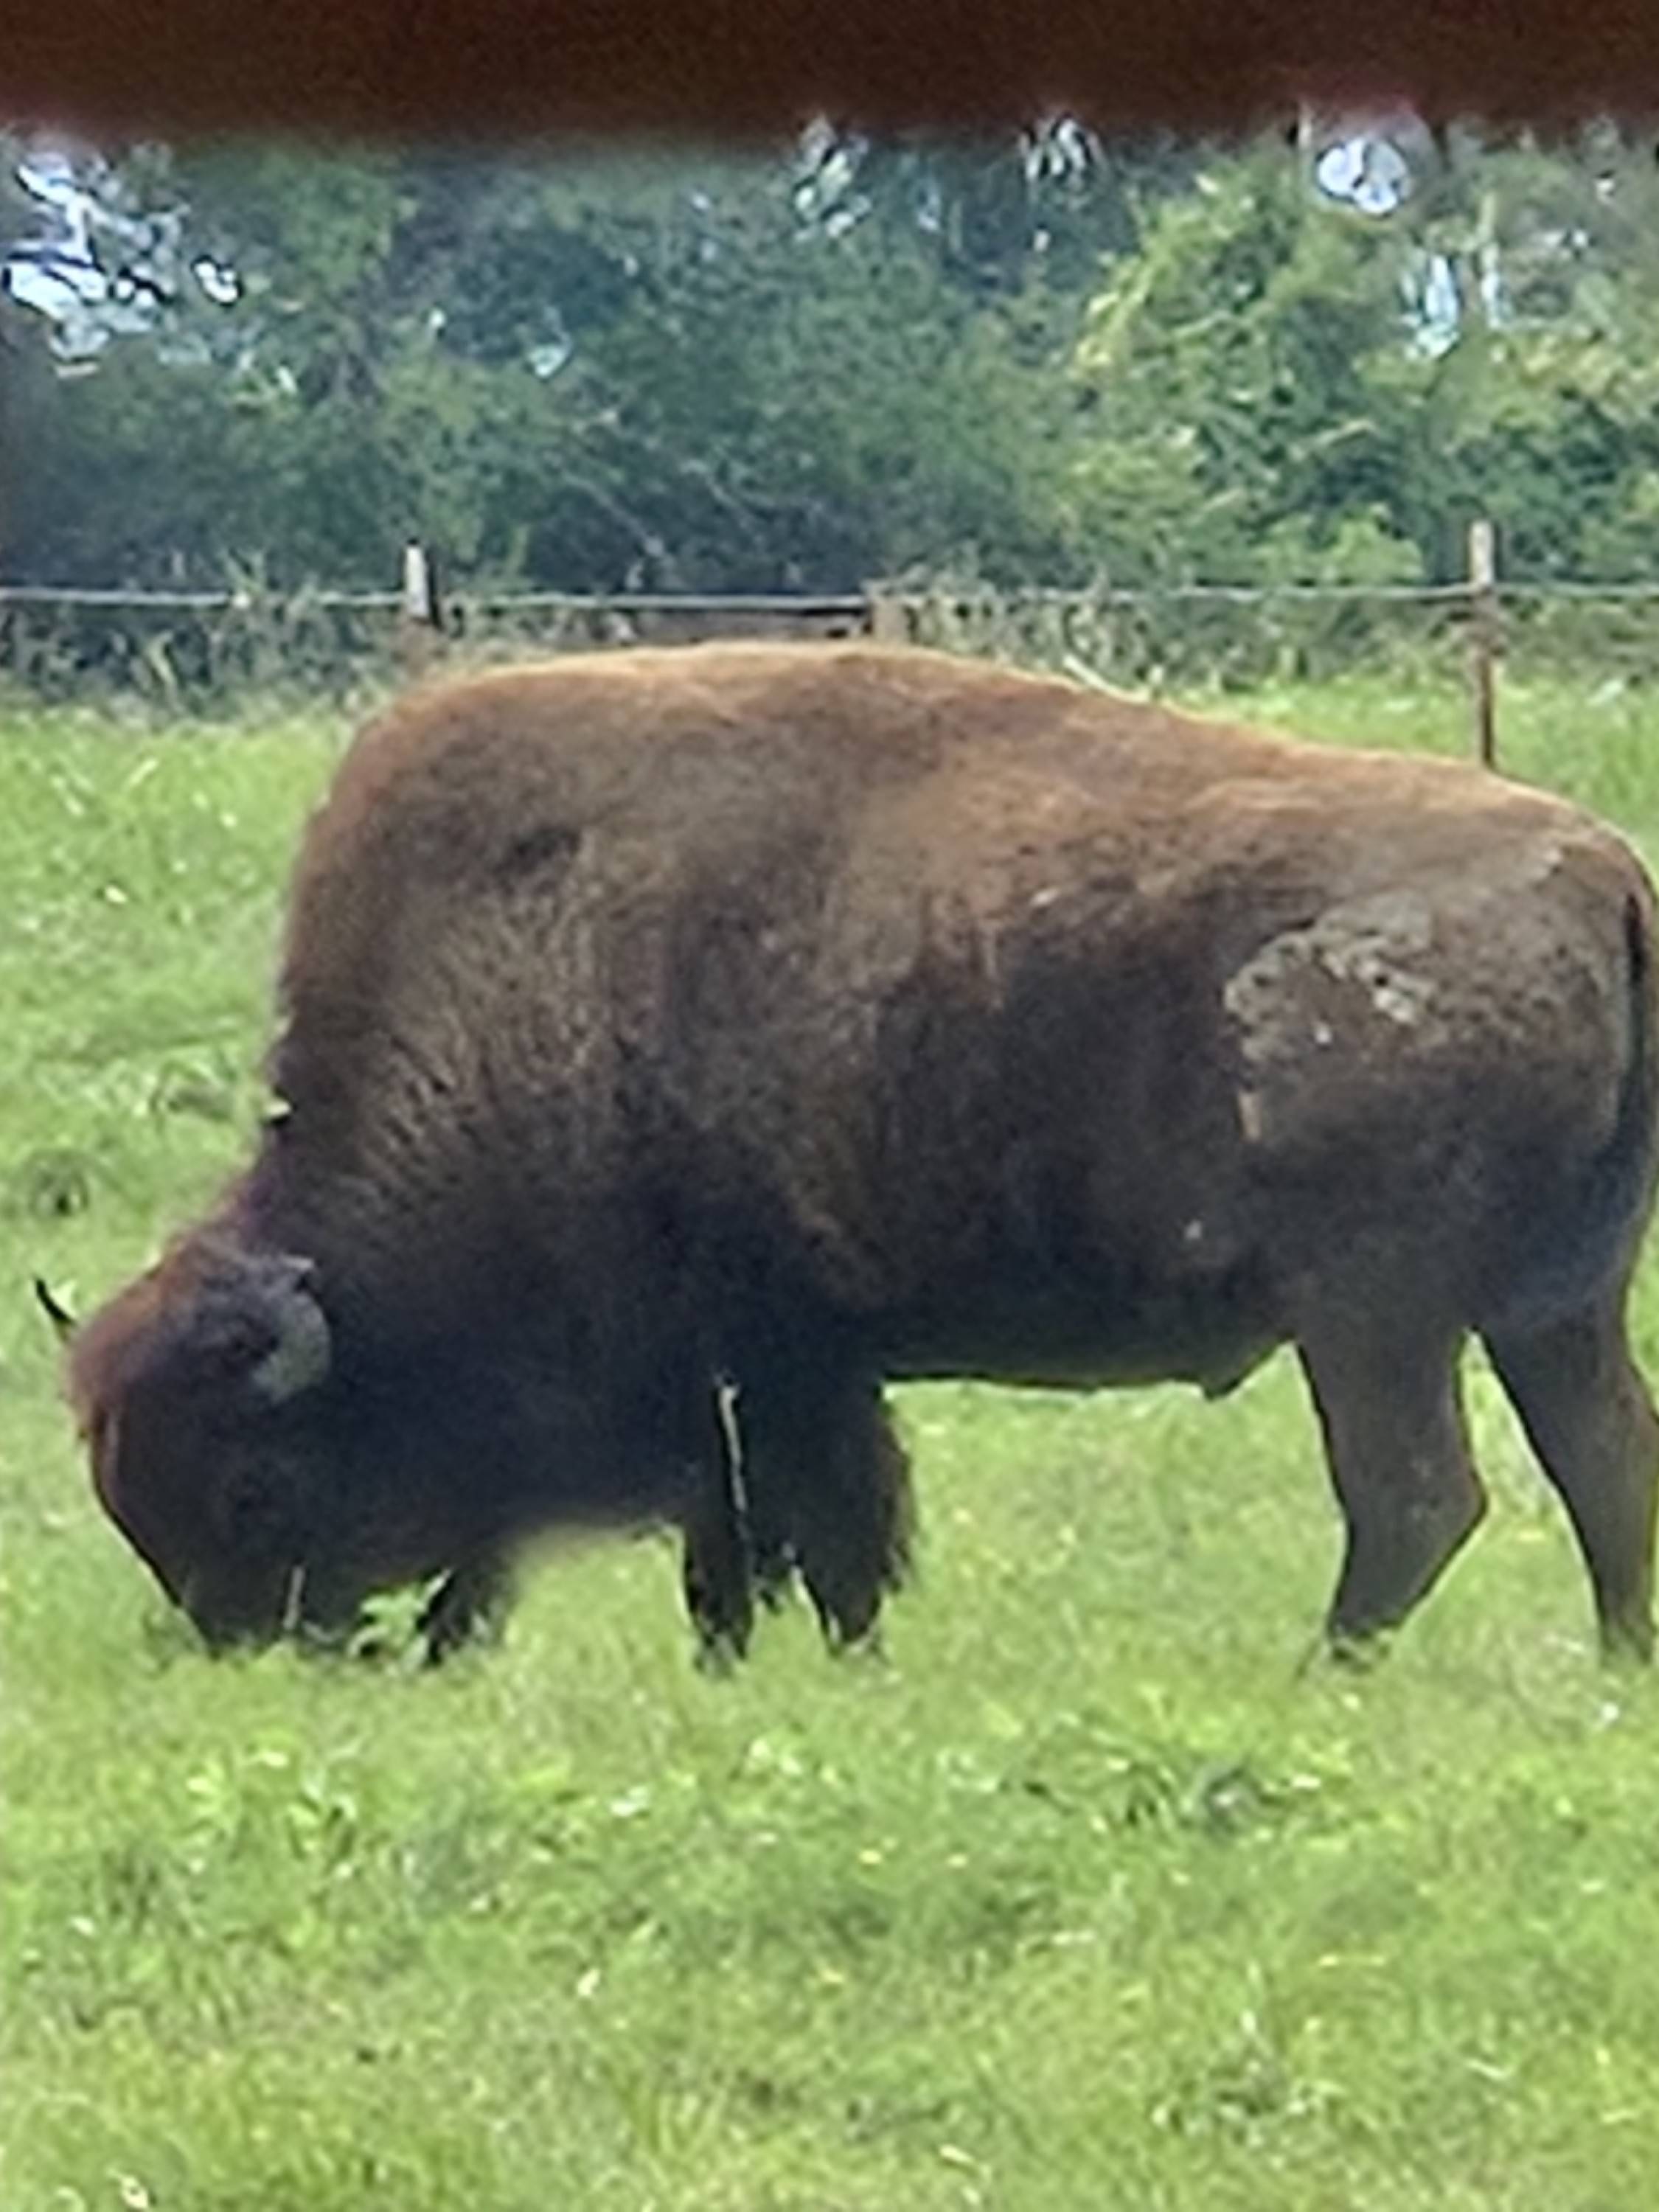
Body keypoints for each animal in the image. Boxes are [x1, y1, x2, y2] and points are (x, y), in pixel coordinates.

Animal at [46, 641, 1659, 1667]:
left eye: (256, 1488)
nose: (247, 1645)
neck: (526, 986)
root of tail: (1605, 873)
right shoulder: (764, 1373)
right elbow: (752, 1542)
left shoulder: (771, 1358)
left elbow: (802, 1533)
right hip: (1555, 1303)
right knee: (1605, 1462)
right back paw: (1612, 1665)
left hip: (1371, 1315)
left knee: (1415, 1492)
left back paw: (1322, 1666)